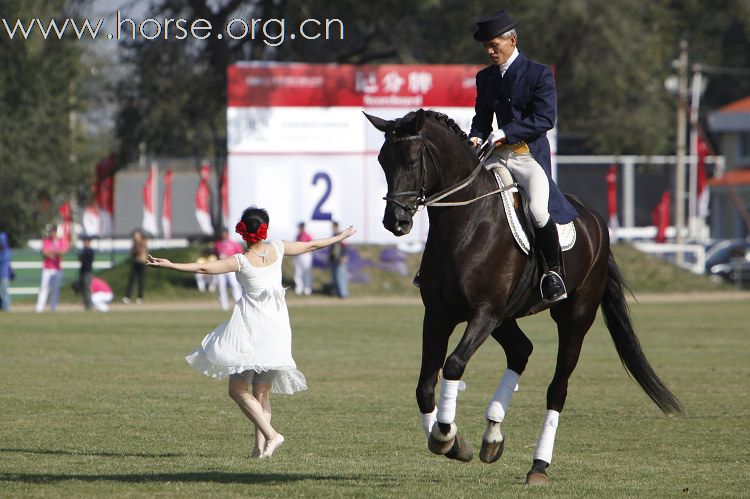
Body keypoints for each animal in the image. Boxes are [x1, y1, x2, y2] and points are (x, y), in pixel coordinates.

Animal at [368, 108, 684, 484]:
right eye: (382, 161)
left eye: (412, 161)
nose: (395, 222)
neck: (463, 222)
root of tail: (595, 220)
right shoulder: (439, 315)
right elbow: (424, 386)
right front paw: (448, 441)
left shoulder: (485, 312)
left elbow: (454, 364)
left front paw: (446, 435)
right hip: (506, 318)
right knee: (521, 351)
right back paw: (493, 435)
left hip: (572, 318)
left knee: (557, 388)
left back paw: (539, 465)